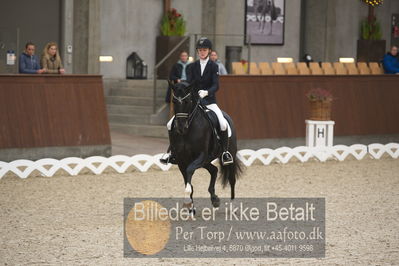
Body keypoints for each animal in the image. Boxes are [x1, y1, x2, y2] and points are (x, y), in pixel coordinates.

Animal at [170, 81, 242, 214]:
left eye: (187, 101)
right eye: (174, 101)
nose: (181, 127)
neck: (188, 131)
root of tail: (226, 115)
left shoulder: (201, 156)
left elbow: (189, 173)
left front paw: (187, 201)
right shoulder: (182, 161)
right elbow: (188, 181)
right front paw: (191, 208)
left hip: (229, 155)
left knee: (231, 179)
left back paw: (233, 205)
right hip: (205, 161)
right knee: (214, 170)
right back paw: (214, 199)